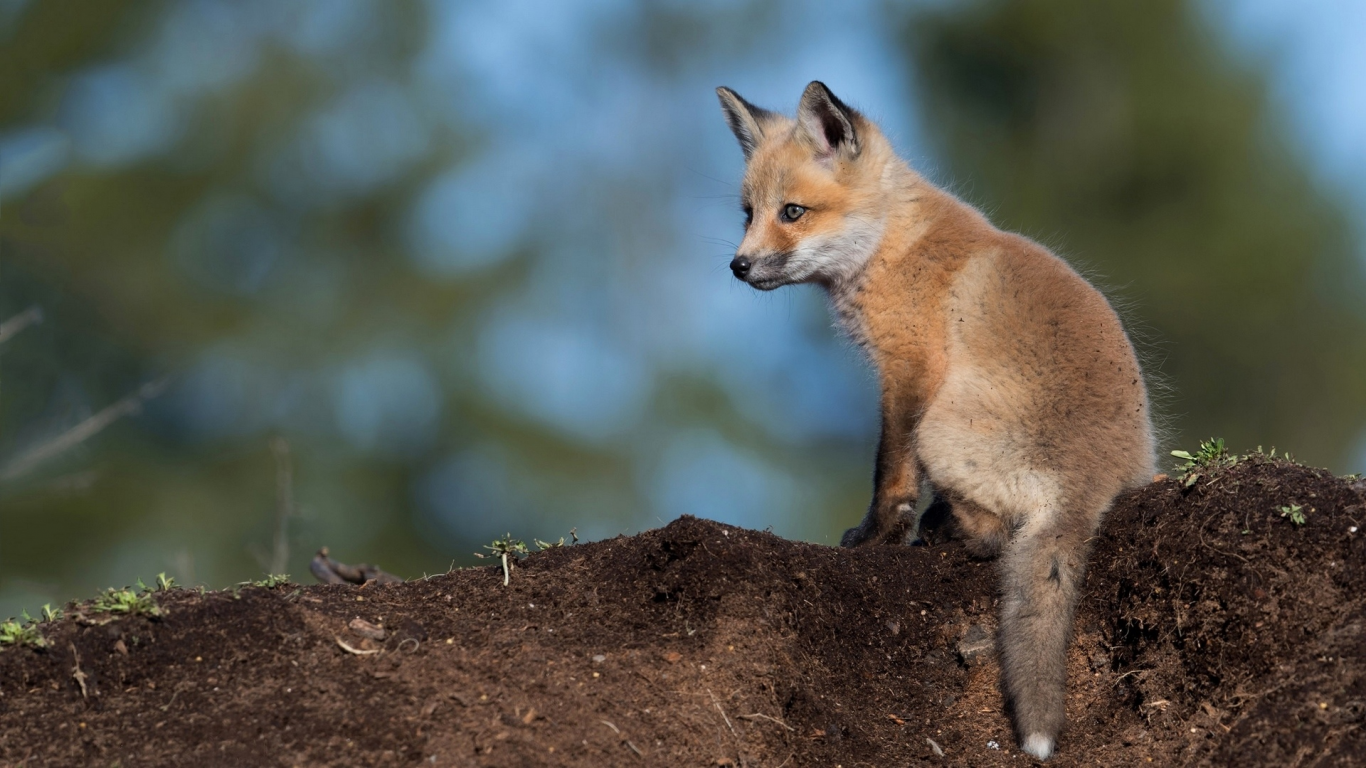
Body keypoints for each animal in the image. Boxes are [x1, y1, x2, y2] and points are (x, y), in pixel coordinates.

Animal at [715, 82, 1152, 754]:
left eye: (791, 212)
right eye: (747, 213)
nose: (737, 266)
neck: (895, 246)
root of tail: (1091, 482)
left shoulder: (909, 369)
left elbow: (890, 472)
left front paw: (876, 537)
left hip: (941, 426)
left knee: (997, 537)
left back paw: (946, 529)